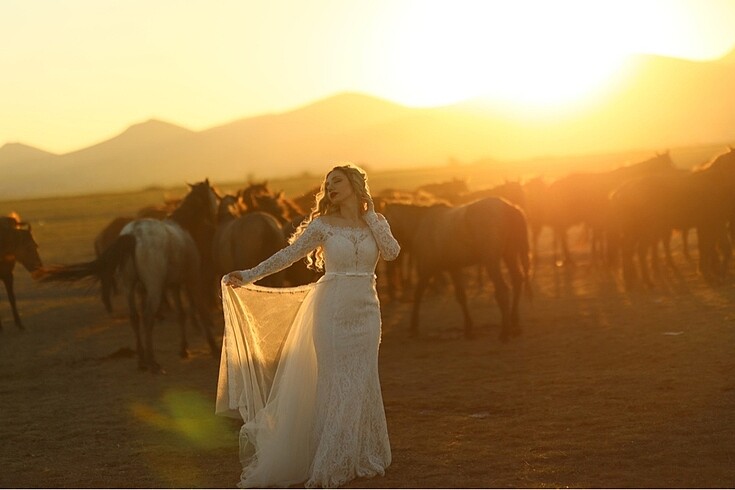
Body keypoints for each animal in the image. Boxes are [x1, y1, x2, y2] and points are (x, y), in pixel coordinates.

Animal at [42, 180, 220, 372]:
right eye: (214, 194)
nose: (216, 218)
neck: (183, 226)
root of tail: (132, 235)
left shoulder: (174, 285)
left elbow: (181, 314)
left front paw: (184, 349)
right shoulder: (192, 279)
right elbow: (201, 310)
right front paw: (214, 348)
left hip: (129, 286)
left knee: (134, 317)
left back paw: (142, 360)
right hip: (154, 287)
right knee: (148, 317)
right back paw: (153, 362)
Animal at [382, 197, 532, 342]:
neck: (421, 223)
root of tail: (509, 208)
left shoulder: (427, 269)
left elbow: (418, 294)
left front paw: (413, 327)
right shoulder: (454, 268)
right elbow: (461, 297)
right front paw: (468, 329)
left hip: (492, 261)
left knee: (502, 290)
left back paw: (505, 332)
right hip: (509, 255)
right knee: (517, 281)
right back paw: (514, 323)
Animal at [608, 147, 735, 290]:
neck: (716, 182)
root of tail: (620, 192)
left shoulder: (710, 225)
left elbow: (709, 247)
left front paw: (708, 272)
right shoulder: (714, 224)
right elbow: (720, 248)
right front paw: (717, 275)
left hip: (636, 231)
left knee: (628, 251)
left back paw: (631, 280)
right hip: (646, 231)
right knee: (639, 252)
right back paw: (646, 281)